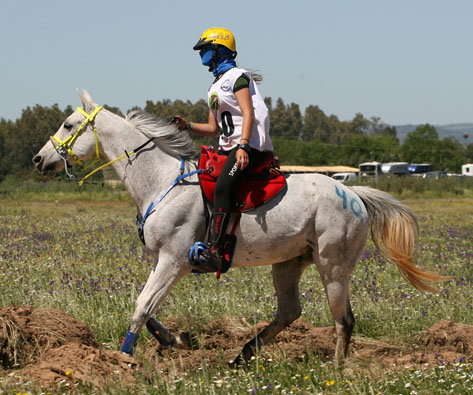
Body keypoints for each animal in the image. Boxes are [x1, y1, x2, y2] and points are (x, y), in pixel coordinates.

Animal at [32, 91, 442, 366]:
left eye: (68, 125)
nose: (39, 159)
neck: (160, 180)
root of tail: (354, 193)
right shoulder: (167, 261)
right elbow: (149, 310)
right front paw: (176, 340)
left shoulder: (173, 260)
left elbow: (141, 306)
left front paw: (123, 360)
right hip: (289, 263)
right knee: (289, 311)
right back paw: (243, 355)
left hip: (334, 266)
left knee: (343, 319)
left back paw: (336, 369)